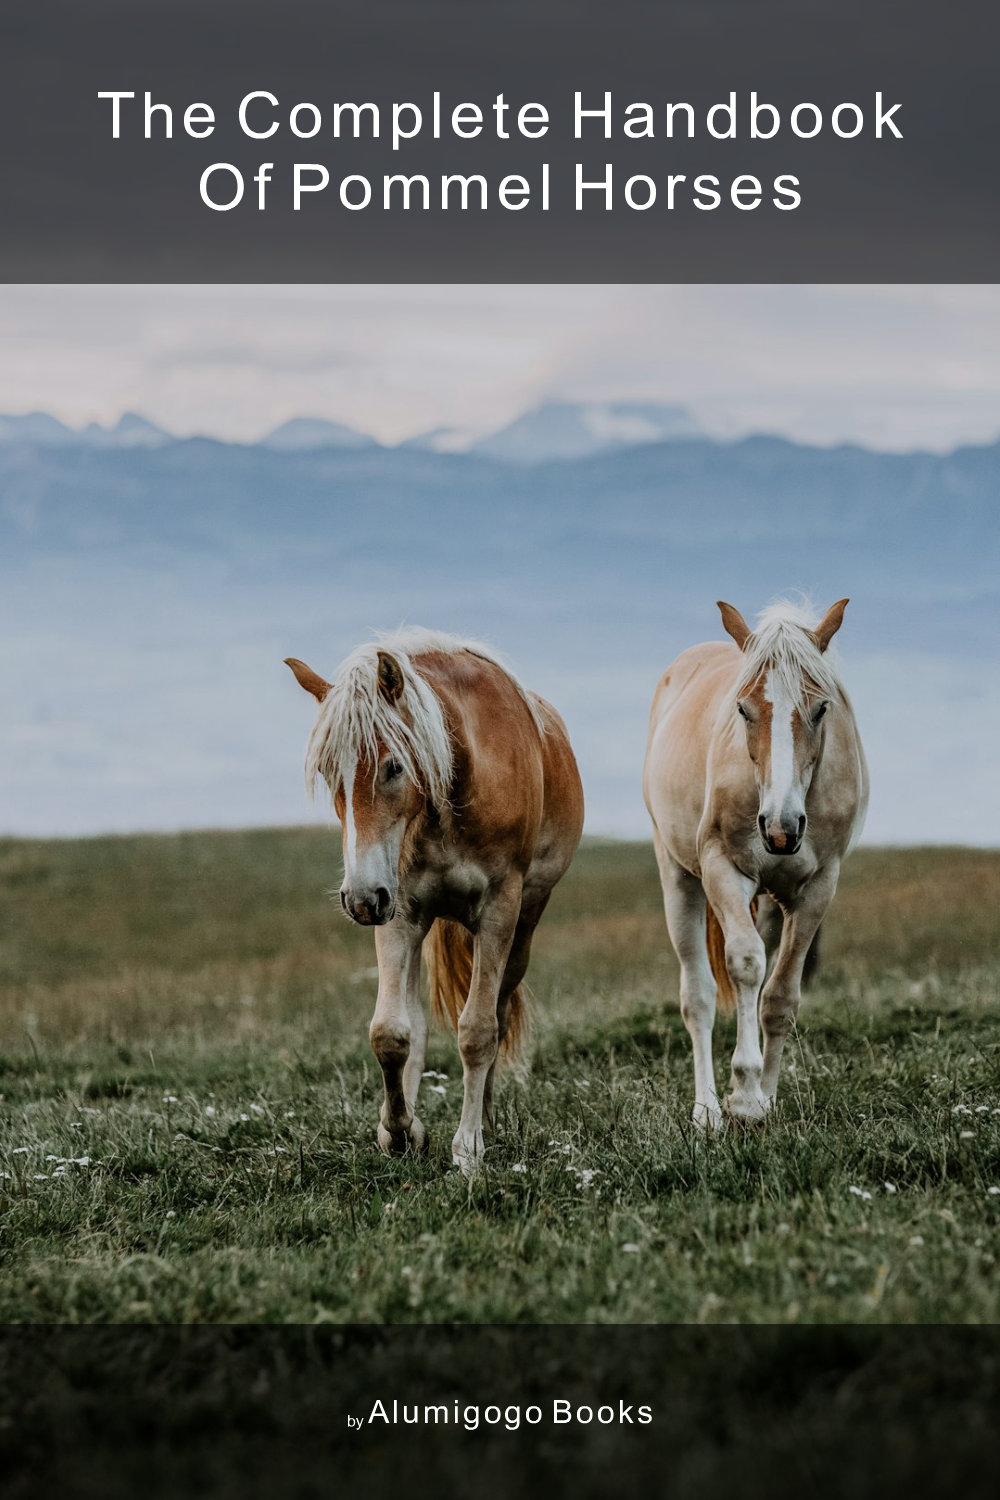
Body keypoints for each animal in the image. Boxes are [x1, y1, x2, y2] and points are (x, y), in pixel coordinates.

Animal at [285, 629, 584, 1173]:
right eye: (327, 771)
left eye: (394, 766)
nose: (358, 898)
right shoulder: (399, 911)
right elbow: (391, 1033)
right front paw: (400, 1132)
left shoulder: (499, 910)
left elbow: (478, 1031)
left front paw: (468, 1149)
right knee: (416, 1023)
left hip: (524, 925)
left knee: (499, 1012)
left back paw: (485, 1118)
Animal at [643, 599, 868, 1128]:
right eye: (743, 709)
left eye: (821, 707)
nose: (781, 829)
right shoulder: (724, 870)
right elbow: (746, 965)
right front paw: (743, 1095)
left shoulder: (818, 889)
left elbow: (780, 995)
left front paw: (765, 1097)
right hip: (679, 880)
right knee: (698, 997)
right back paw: (706, 1109)